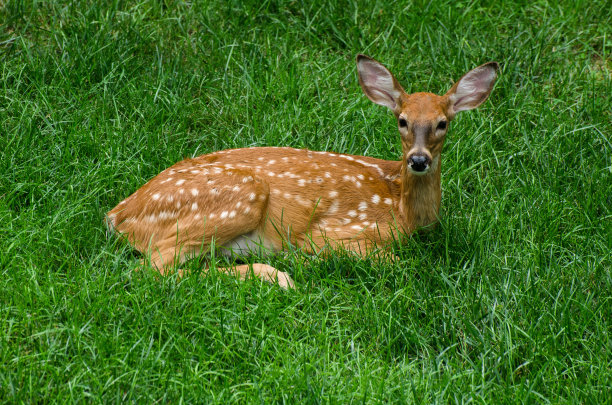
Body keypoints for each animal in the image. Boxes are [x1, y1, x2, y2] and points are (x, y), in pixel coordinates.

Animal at [105, 55, 498, 288]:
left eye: (443, 123)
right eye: (401, 120)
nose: (418, 160)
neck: (404, 211)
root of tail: (117, 215)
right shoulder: (338, 232)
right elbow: (397, 263)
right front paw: (310, 260)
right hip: (241, 196)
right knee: (152, 268)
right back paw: (279, 275)